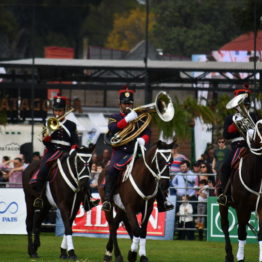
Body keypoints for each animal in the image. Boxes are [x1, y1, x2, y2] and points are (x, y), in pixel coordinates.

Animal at [219, 119, 262, 262]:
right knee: (225, 226)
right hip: (224, 204)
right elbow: (241, 233)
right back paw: (229, 255)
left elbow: (260, 234)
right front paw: (240, 257)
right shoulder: (242, 207)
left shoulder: (260, 207)